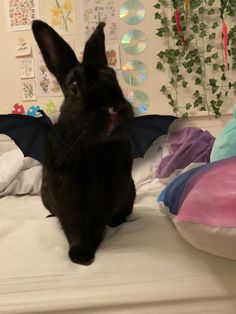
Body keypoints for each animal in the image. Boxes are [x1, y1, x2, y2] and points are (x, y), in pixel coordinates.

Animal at [31, 20, 135, 264]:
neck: (92, 146)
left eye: (113, 77)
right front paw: (80, 254)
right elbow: (74, 225)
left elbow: (98, 222)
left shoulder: (111, 190)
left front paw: (92, 246)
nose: (114, 109)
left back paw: (118, 221)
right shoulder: (66, 193)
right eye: (74, 87)